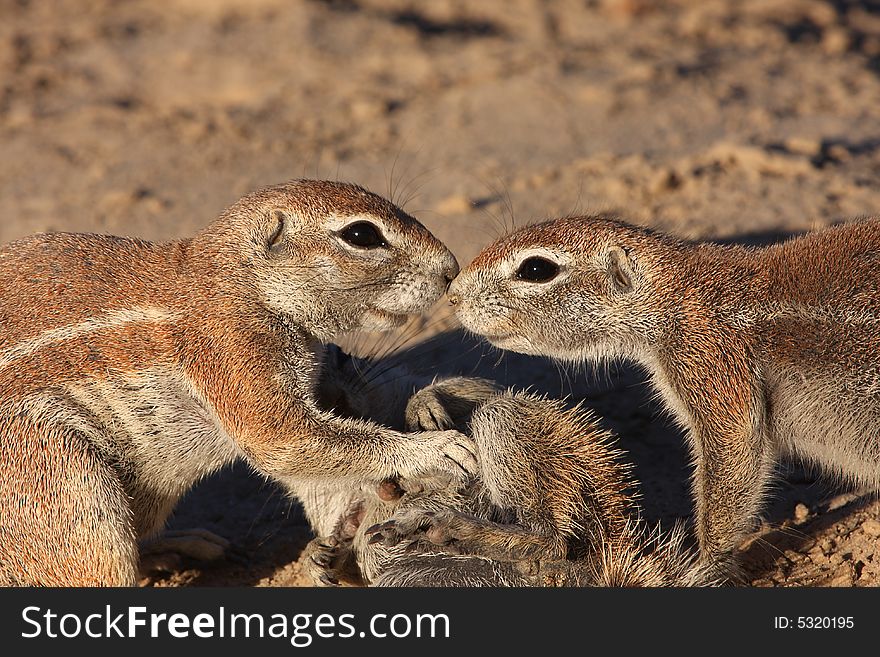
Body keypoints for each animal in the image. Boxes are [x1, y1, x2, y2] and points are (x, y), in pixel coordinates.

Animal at [0, 177, 478, 580]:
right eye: (361, 235)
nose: (452, 268)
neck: (243, 283)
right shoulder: (235, 350)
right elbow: (288, 440)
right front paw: (437, 450)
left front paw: (426, 405)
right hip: (66, 483)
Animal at [450, 214, 880, 576]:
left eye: (536, 269)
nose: (452, 296)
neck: (679, 297)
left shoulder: (709, 360)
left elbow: (733, 449)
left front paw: (707, 565)